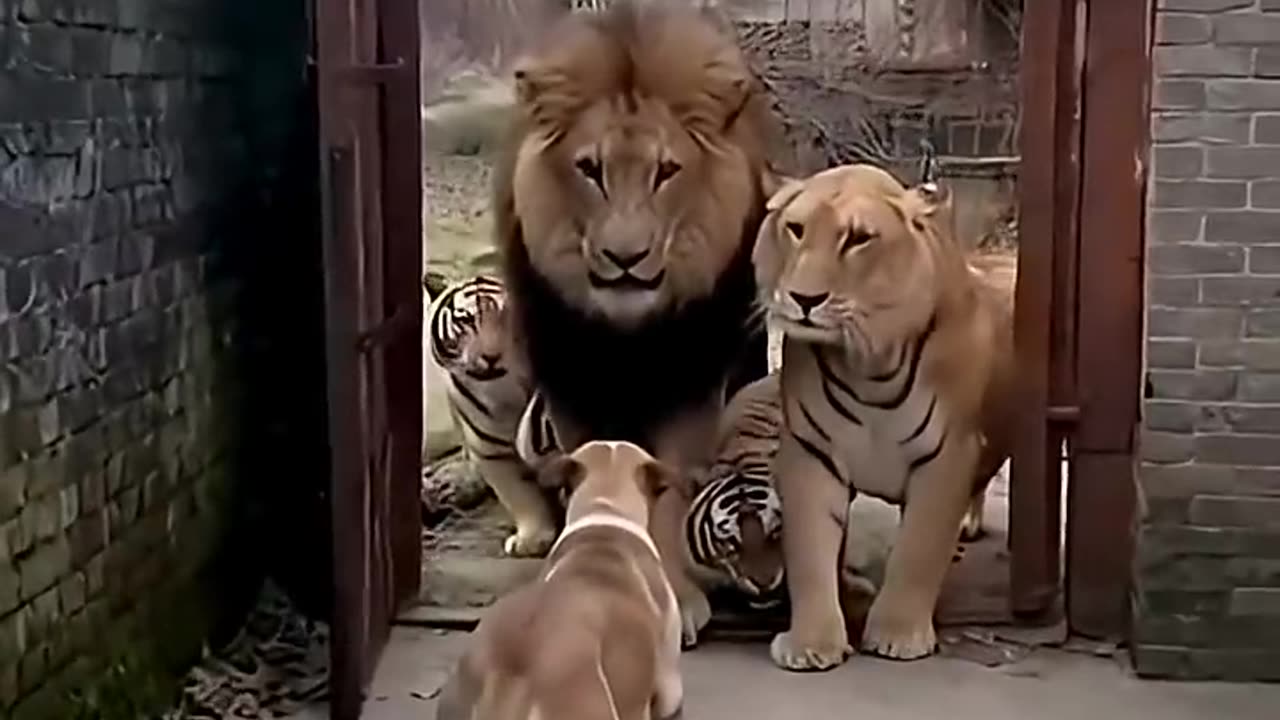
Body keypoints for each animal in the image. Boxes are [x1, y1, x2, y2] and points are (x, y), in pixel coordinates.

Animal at [493, 0, 784, 646]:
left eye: (666, 171)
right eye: (590, 169)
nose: (625, 259)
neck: (627, 334)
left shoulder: (690, 387)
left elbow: (670, 492)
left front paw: (675, 594)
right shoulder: (569, 381)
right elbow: (582, 475)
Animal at [752, 163, 1017, 669]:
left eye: (858, 239)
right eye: (796, 229)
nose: (804, 299)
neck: (867, 365)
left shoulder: (947, 455)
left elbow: (918, 548)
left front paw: (898, 635)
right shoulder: (811, 453)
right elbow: (810, 551)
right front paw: (812, 643)